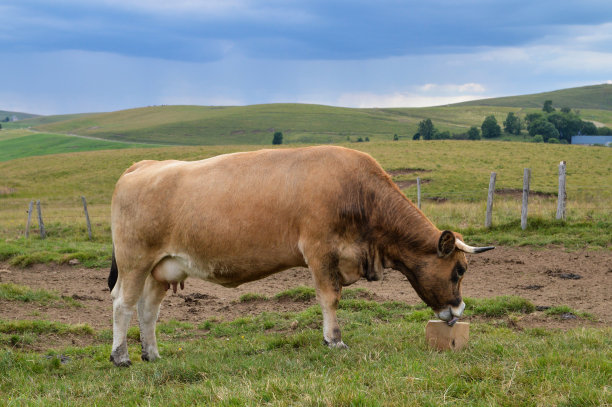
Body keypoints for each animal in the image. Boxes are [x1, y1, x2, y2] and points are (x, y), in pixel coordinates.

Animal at [107, 146, 494, 366]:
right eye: (460, 270)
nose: (459, 310)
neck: (360, 193)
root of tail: (141, 165)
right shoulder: (320, 251)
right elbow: (330, 298)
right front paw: (334, 340)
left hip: (161, 268)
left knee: (147, 311)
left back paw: (151, 354)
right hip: (134, 261)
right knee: (123, 305)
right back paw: (121, 356)